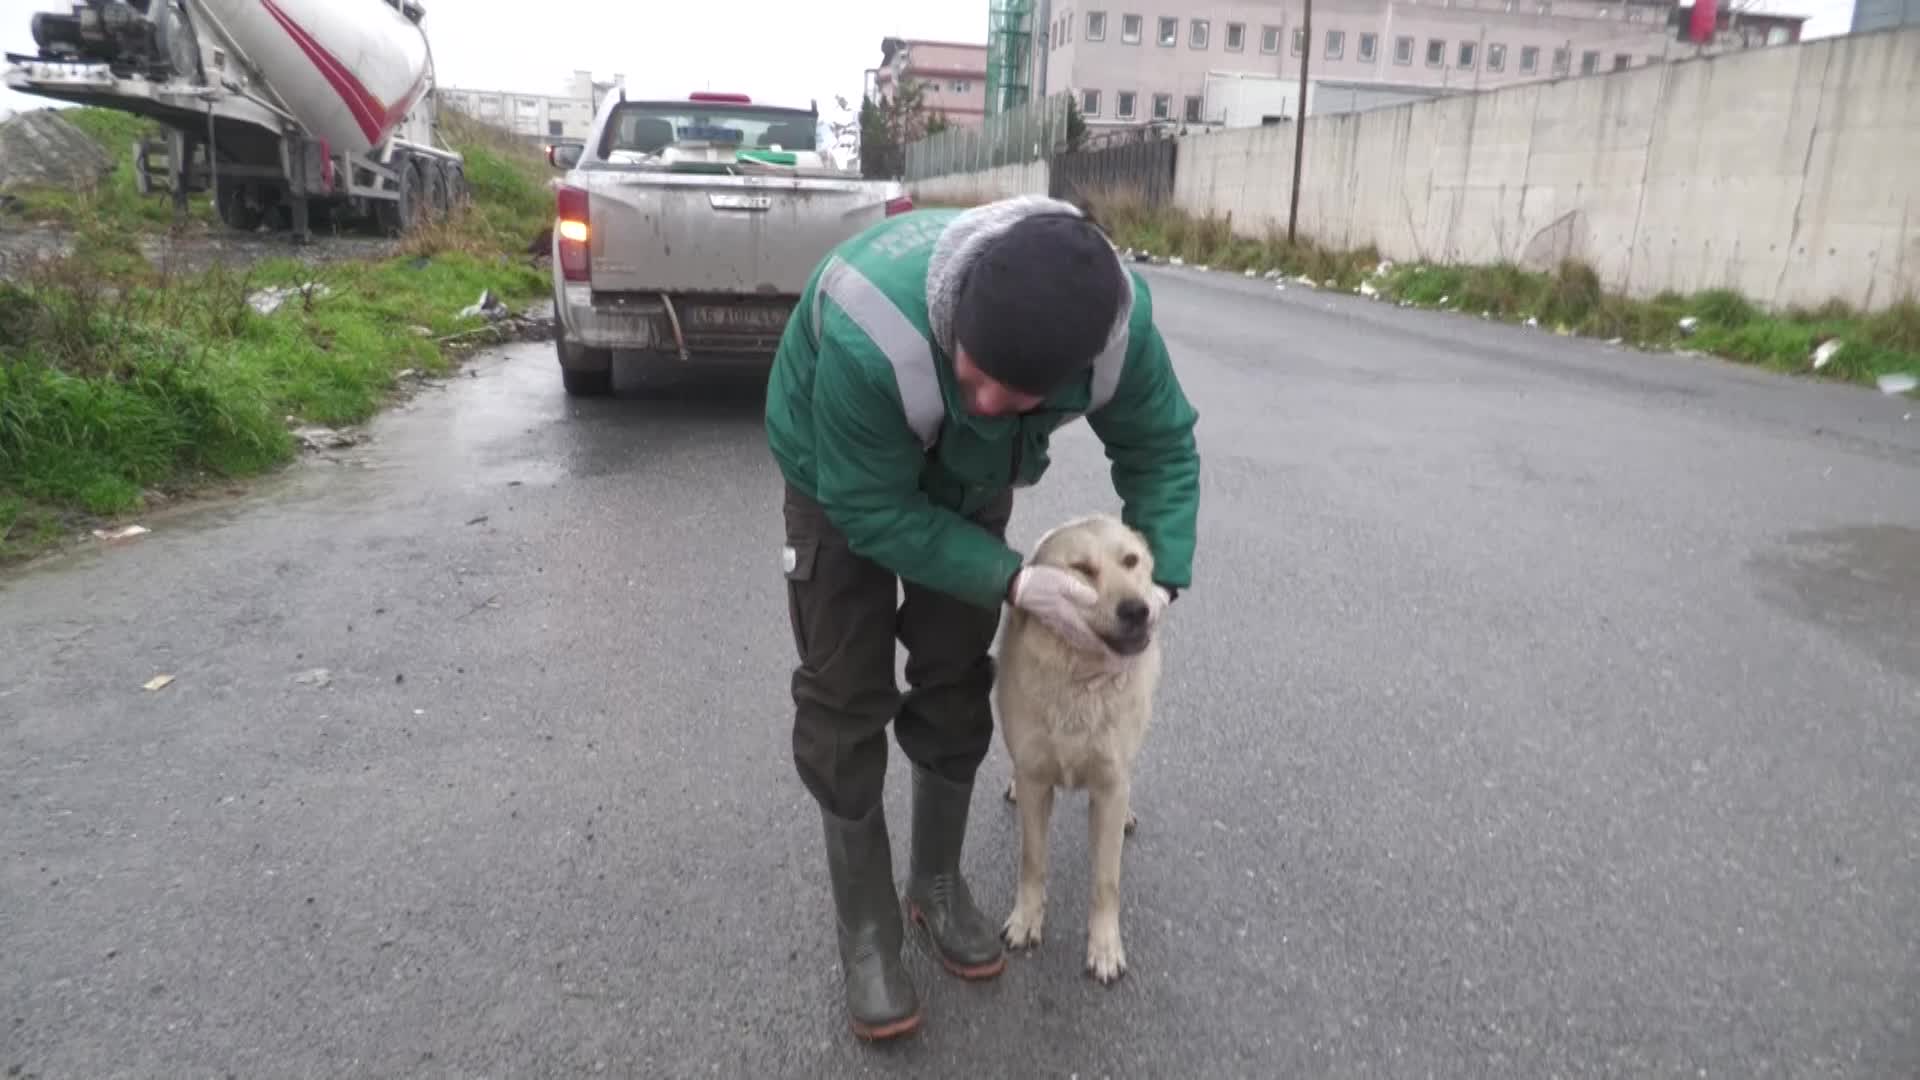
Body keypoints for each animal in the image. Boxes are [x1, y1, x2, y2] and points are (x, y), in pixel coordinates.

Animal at [998, 511, 1159, 983]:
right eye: (1083, 569)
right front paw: (1027, 918)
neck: (1080, 681)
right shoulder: (1036, 781)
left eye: (1131, 561)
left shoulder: (1108, 784)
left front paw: (1104, 946)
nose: (1138, 610)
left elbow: (1106, 881)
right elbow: (1032, 860)